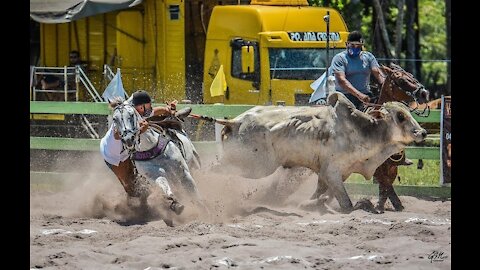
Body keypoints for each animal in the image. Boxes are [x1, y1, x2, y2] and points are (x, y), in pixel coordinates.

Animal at [214, 93, 428, 213]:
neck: (362, 132)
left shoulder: (335, 172)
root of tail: (236, 121)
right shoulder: (332, 171)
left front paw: (310, 204)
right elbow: (346, 203)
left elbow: (321, 192)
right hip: (253, 166)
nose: (422, 132)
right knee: (215, 169)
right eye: (400, 116)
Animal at [366, 63, 430, 213]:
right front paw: (380, 206)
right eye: (402, 80)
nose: (424, 93)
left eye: (411, 75)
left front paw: (395, 205)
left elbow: (387, 182)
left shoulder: (392, 164)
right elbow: (384, 182)